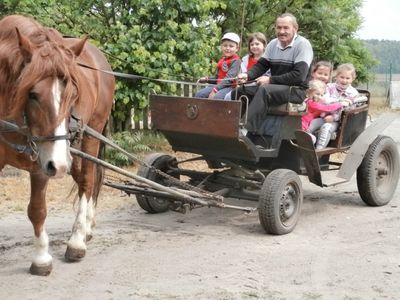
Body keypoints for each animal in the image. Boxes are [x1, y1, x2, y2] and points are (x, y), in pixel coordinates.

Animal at [0, 15, 115, 276]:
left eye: (74, 95)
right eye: (32, 94)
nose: (58, 166)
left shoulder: (40, 162)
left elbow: (37, 210)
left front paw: (41, 258)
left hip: (89, 137)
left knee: (87, 181)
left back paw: (77, 241)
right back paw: (87, 227)